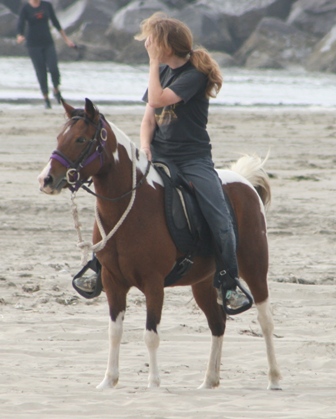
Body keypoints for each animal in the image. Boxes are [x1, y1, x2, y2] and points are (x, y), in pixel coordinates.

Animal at [38, 98, 282, 390]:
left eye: (80, 139)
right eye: (59, 137)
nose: (46, 179)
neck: (132, 206)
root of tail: (244, 181)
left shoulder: (153, 283)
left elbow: (150, 334)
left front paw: (153, 384)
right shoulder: (112, 281)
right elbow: (114, 332)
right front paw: (109, 380)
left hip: (254, 267)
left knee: (265, 320)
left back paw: (274, 378)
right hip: (203, 283)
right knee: (217, 323)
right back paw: (209, 380)